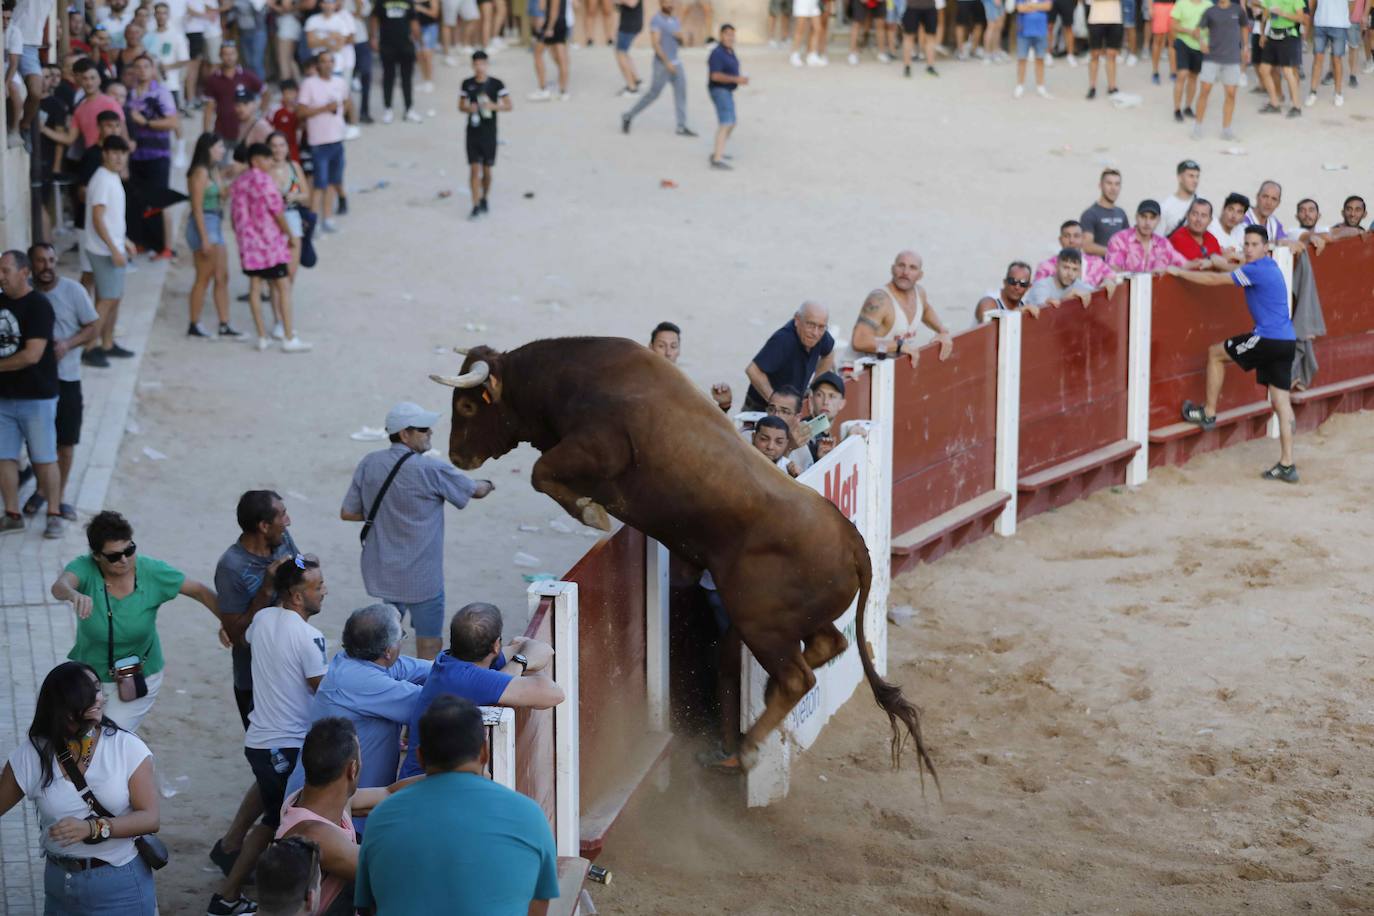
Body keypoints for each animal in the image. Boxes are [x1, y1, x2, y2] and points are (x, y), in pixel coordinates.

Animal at [434, 340, 939, 785]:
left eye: (468, 407)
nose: (457, 455)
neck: (570, 378)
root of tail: (854, 541)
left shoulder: (596, 448)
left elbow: (542, 474)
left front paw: (592, 513)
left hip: (759, 620)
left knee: (799, 676)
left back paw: (747, 750)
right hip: (796, 618)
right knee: (828, 645)